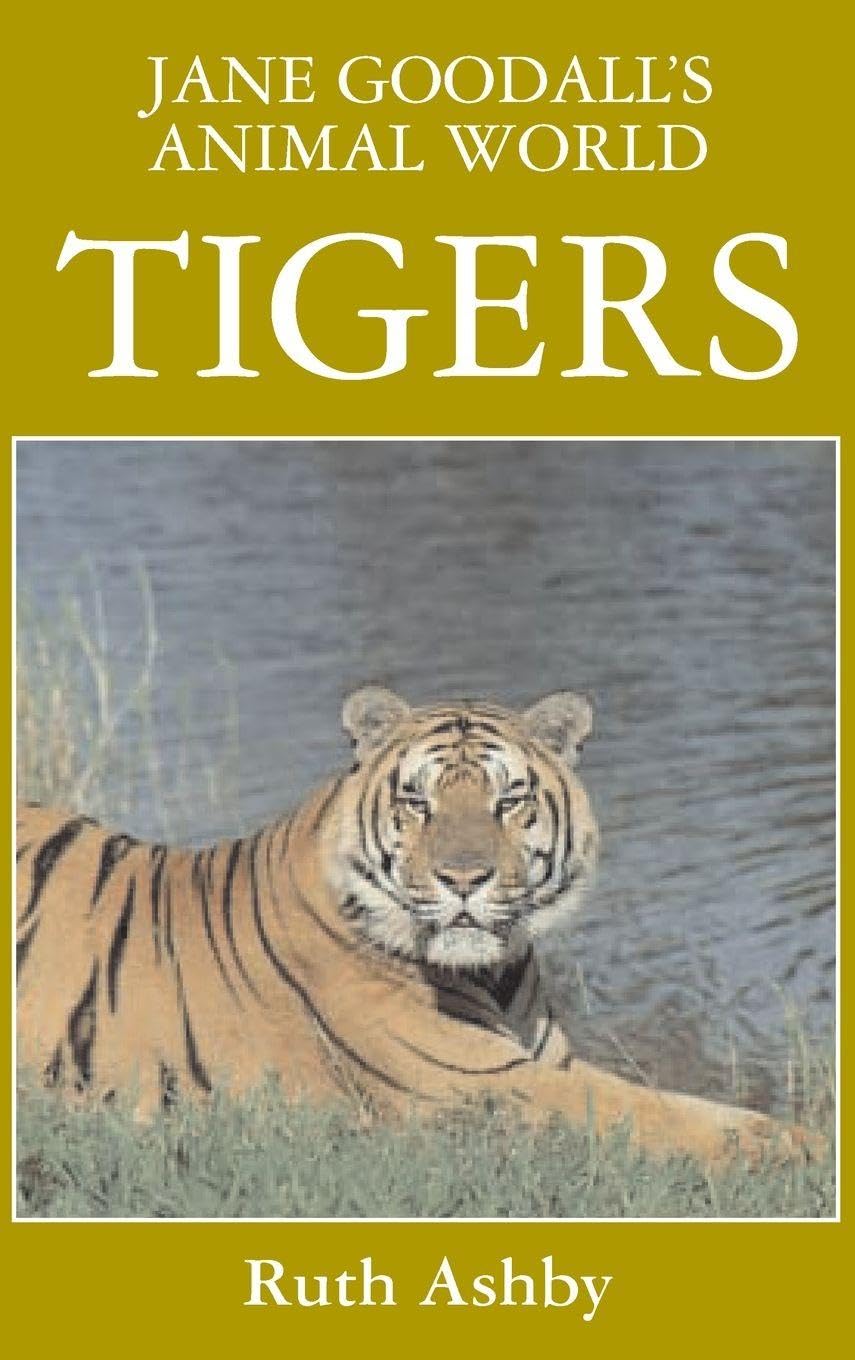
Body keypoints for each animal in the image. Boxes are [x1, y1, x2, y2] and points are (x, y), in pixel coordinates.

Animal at [16, 686, 809, 1164]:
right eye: (416, 803)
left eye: (508, 800)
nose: (464, 879)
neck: (497, 968)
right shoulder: (483, 1083)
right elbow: (646, 1114)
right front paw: (800, 1150)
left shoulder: (547, 1061)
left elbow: (677, 1100)